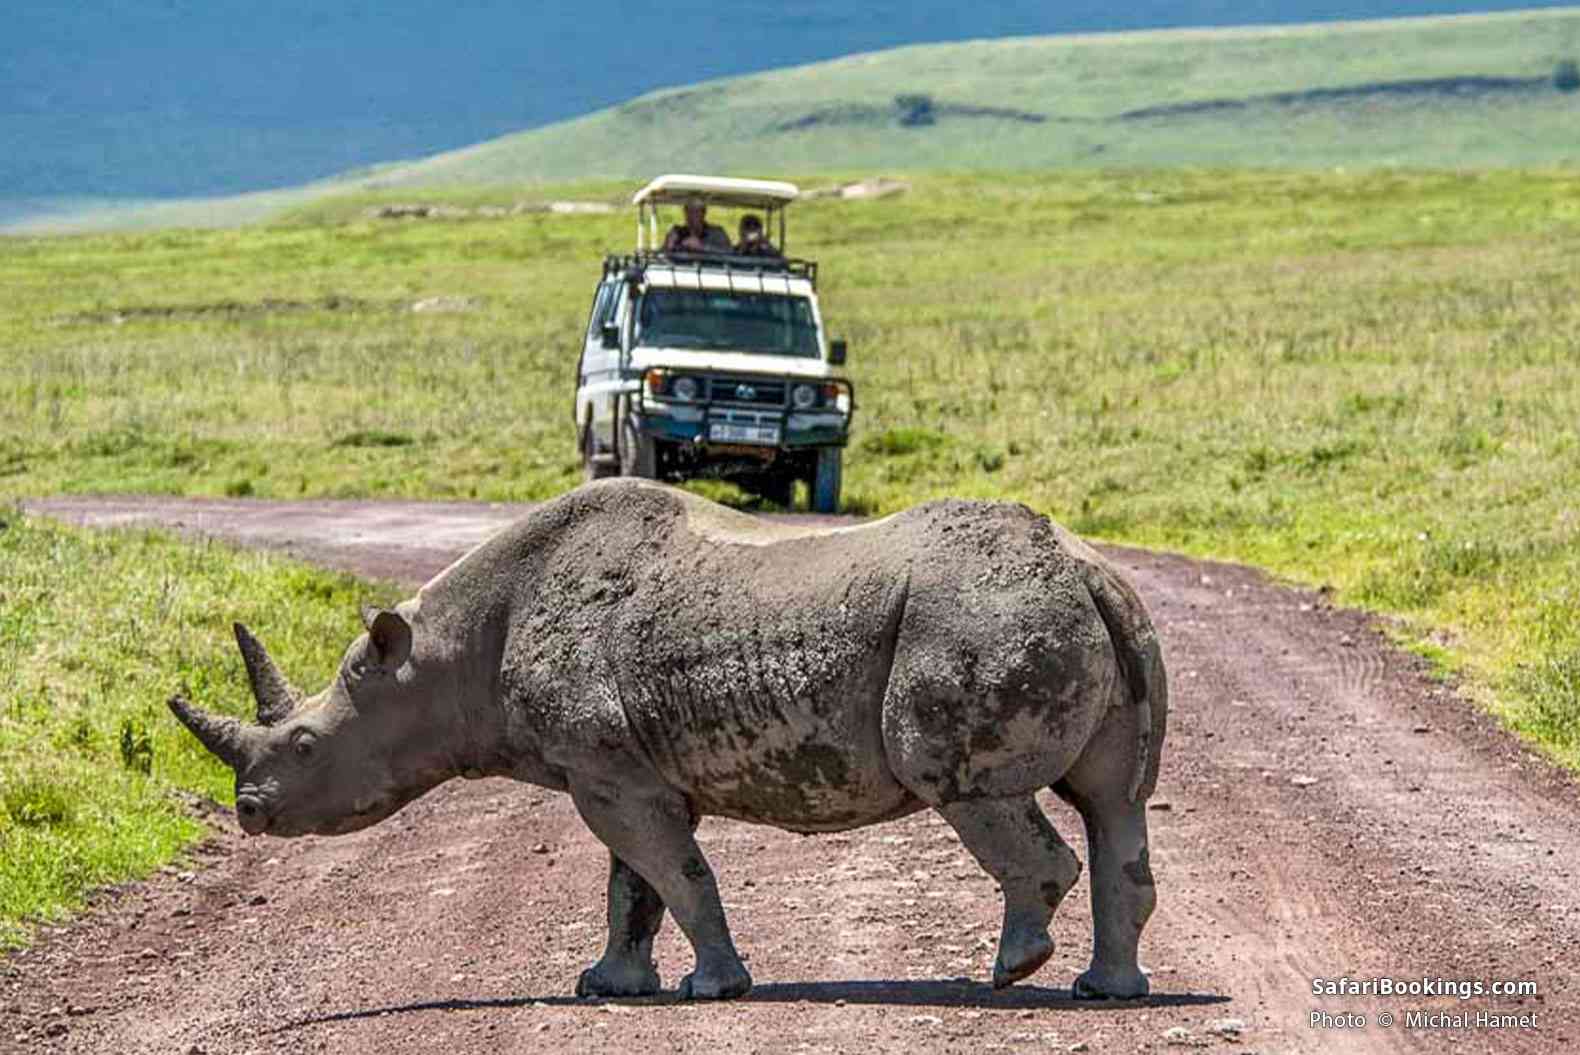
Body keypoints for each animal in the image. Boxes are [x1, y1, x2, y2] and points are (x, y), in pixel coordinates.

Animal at [169, 479, 1167, 1001]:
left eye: (305, 745)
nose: (247, 809)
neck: (442, 658)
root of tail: (1088, 570)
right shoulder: (615, 765)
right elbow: (633, 886)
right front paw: (608, 984)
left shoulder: (608, 769)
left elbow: (677, 875)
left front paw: (713, 989)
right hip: (1088, 616)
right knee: (1114, 803)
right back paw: (1104, 989)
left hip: (975, 619)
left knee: (967, 789)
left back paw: (1009, 972)